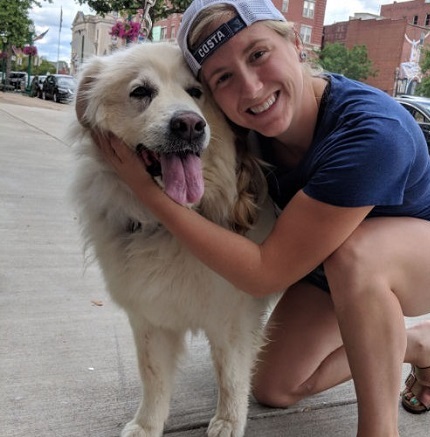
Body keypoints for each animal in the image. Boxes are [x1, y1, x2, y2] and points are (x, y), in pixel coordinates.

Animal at [69, 41, 274, 436]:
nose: (190, 125)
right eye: (140, 92)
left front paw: (228, 422)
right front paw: (147, 425)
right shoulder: (150, 316)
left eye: (196, 92)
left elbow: (231, 376)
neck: (167, 225)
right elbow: (153, 378)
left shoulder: (232, 318)